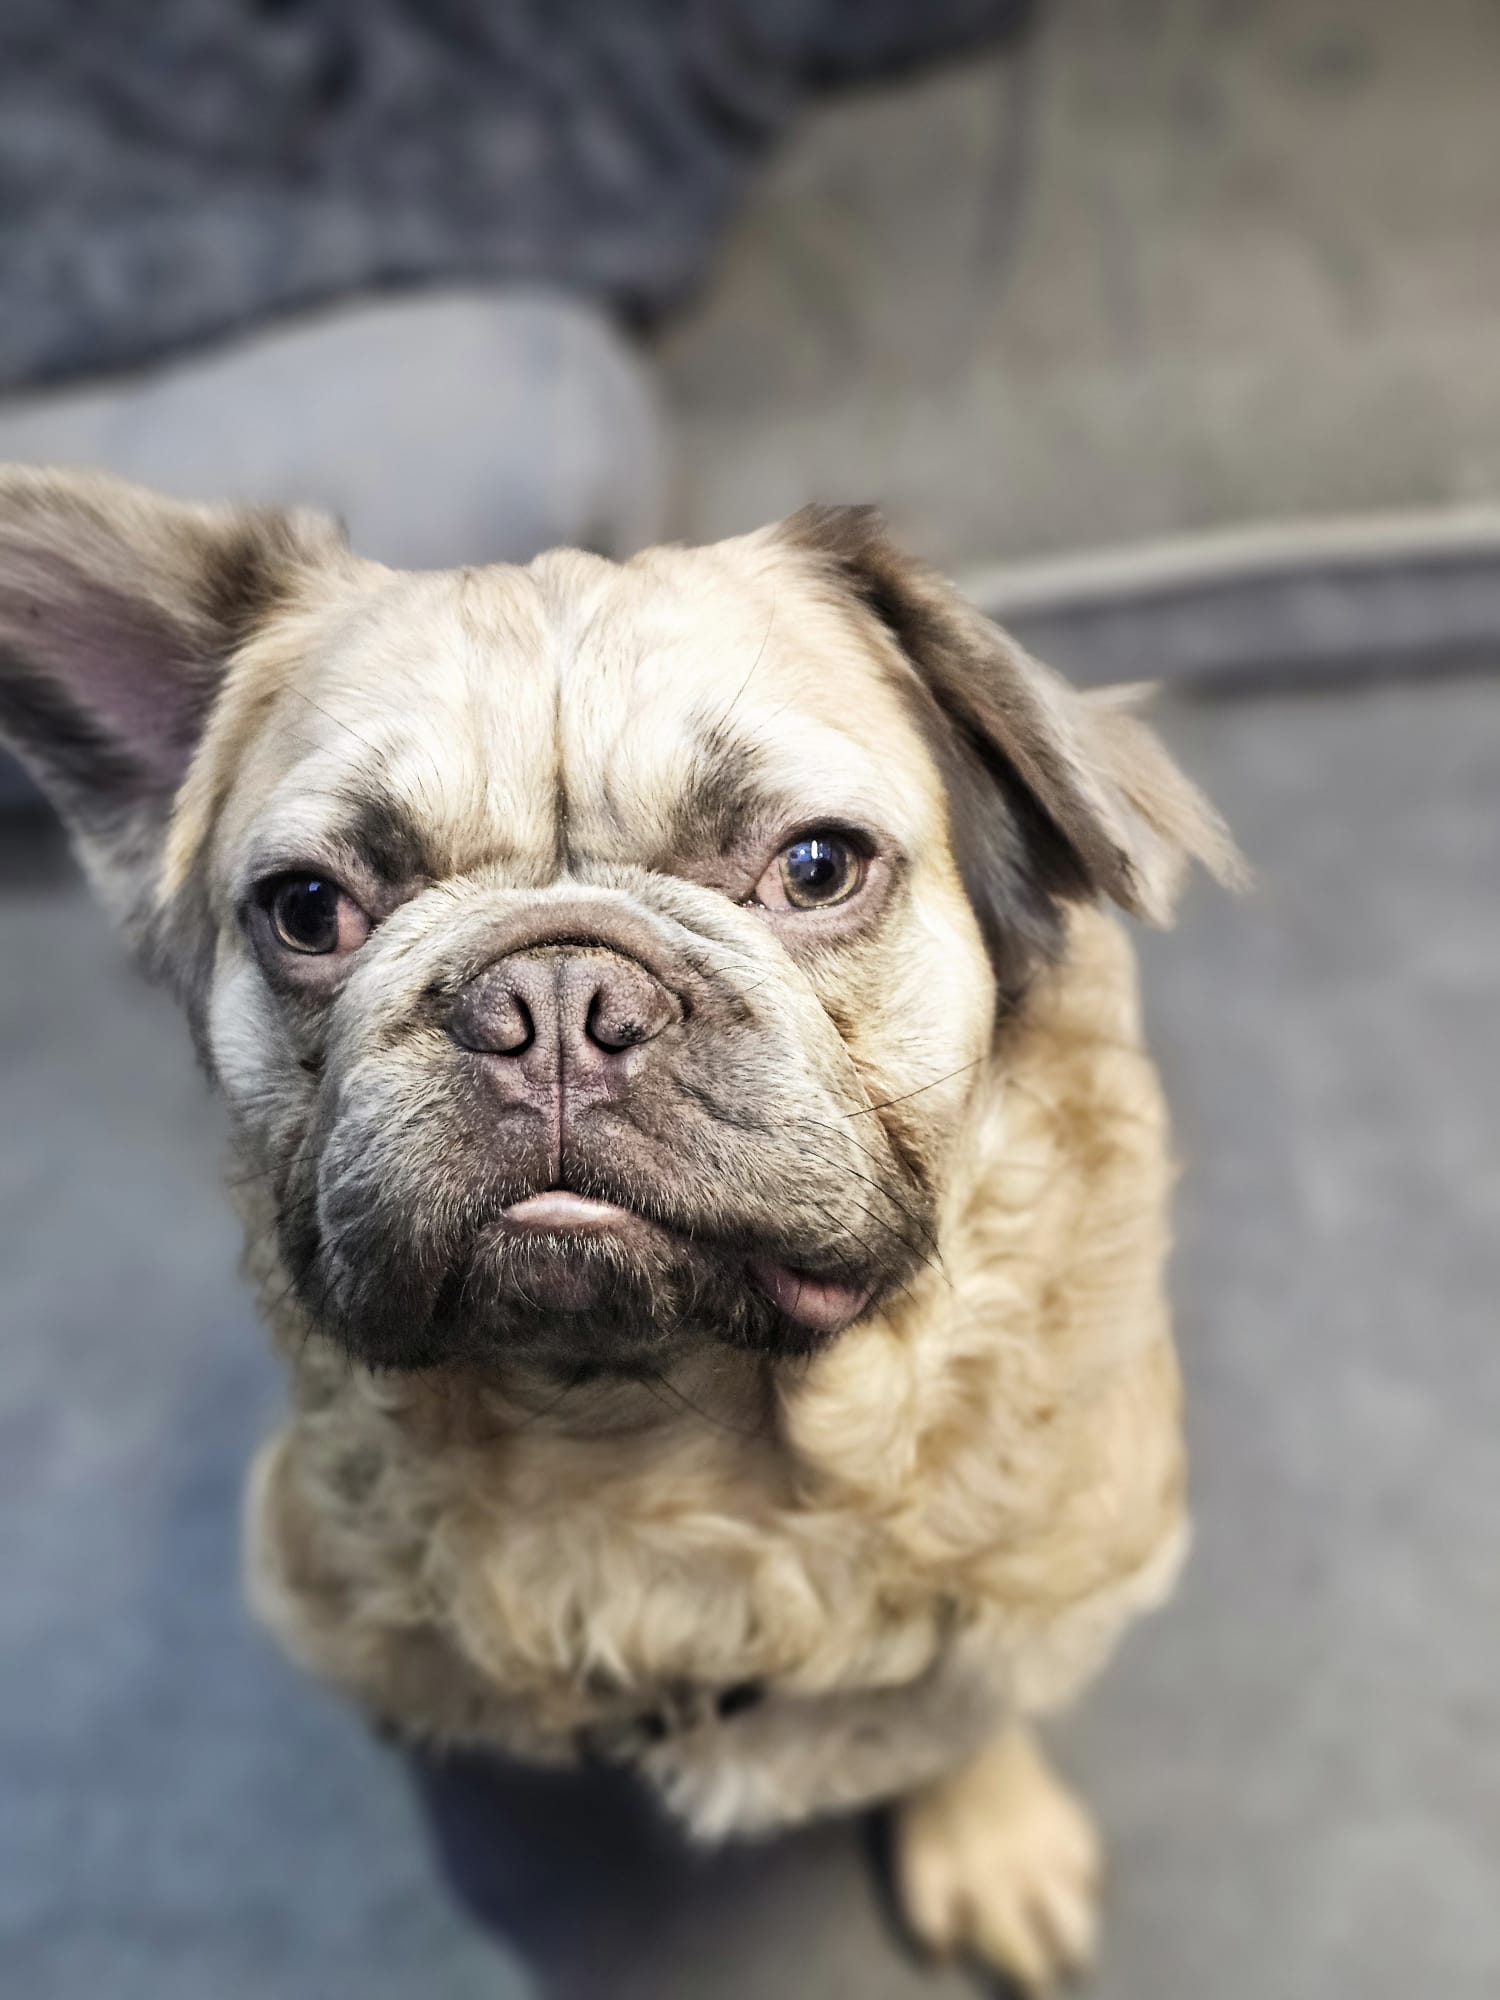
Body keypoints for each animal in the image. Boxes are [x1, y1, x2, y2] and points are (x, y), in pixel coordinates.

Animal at [0, 467, 1239, 1990]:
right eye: (308, 910)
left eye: (816, 868)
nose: (551, 993)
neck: (653, 1437)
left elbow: (969, 1704)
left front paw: (987, 1828)